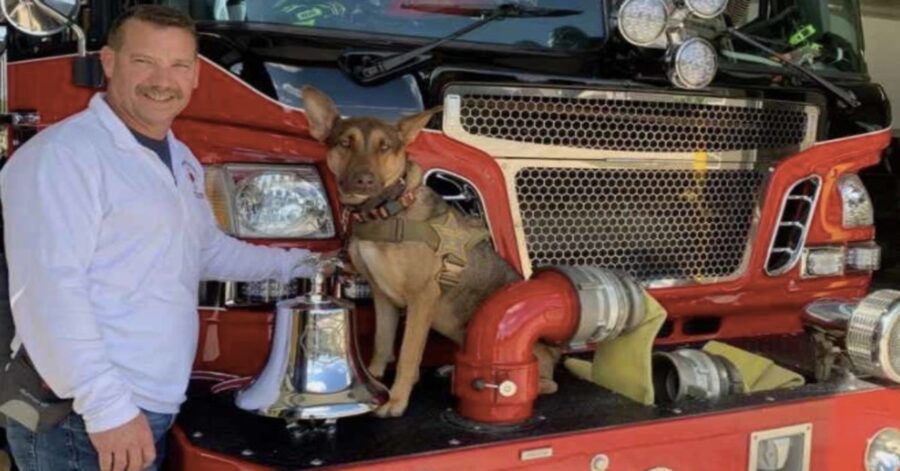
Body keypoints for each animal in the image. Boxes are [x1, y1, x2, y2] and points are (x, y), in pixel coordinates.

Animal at [302, 86, 556, 418]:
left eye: (385, 147)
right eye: (345, 142)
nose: (364, 180)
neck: (384, 211)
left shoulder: (421, 298)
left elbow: (408, 354)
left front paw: (396, 400)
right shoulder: (382, 296)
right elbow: (382, 343)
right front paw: (373, 380)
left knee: (545, 381)